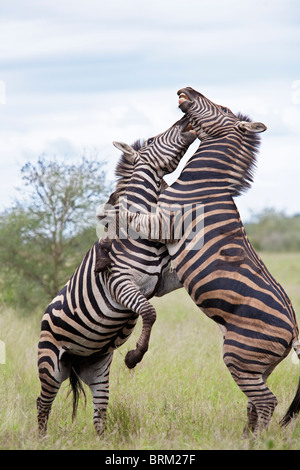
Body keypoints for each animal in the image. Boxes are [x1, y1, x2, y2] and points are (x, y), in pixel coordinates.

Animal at [36, 114, 196, 436]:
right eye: (152, 139)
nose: (185, 117)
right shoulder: (121, 284)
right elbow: (149, 313)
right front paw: (135, 356)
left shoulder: (164, 280)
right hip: (50, 365)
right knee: (42, 403)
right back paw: (41, 439)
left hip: (97, 367)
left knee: (99, 414)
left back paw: (101, 440)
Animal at [106, 86, 300, 436]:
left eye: (221, 108)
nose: (185, 90)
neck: (205, 184)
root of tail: (294, 330)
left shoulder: (160, 221)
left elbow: (133, 212)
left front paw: (115, 205)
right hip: (256, 365)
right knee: (255, 402)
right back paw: (246, 438)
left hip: (239, 355)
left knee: (267, 402)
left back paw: (257, 441)